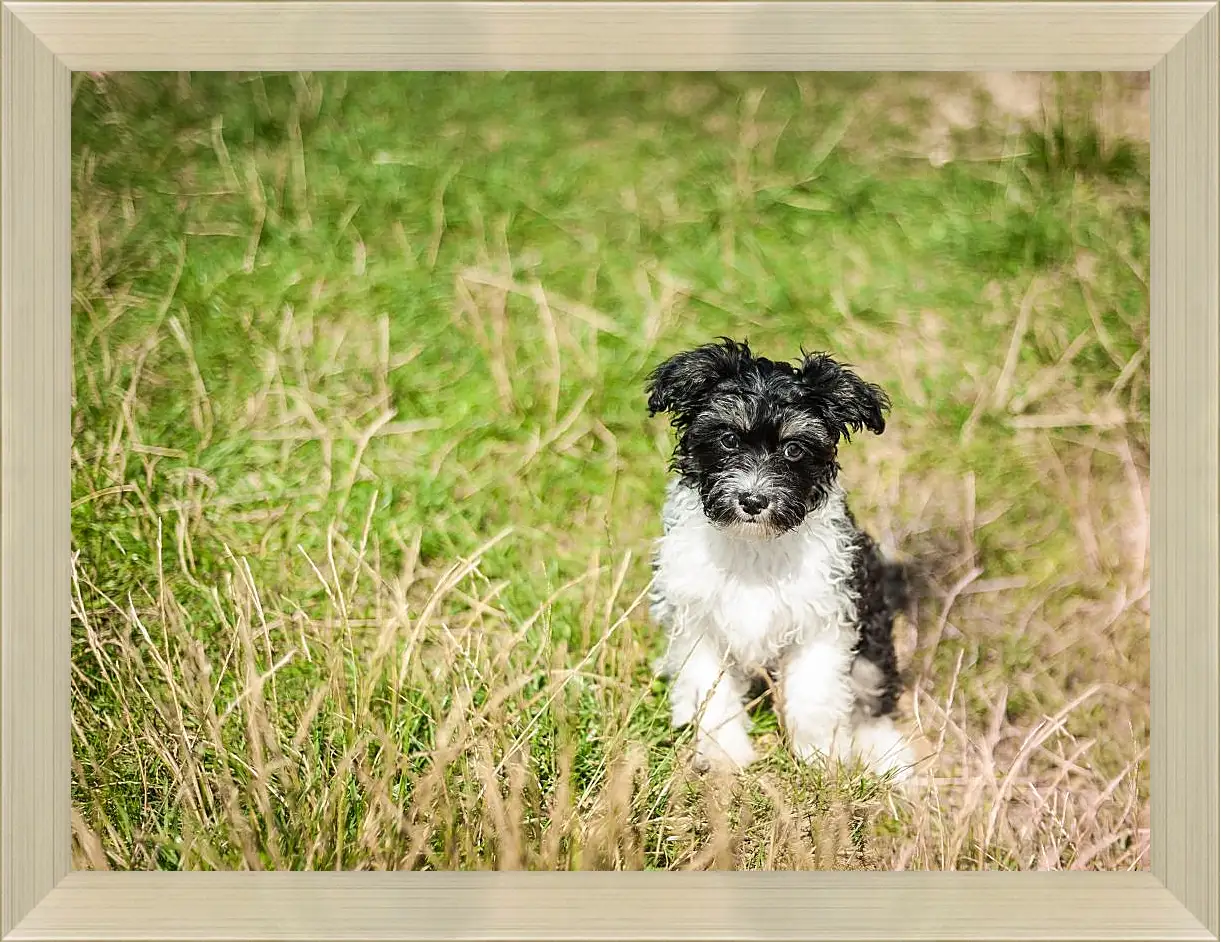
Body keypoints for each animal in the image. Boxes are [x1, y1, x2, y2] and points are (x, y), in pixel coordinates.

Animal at [649, 339, 918, 781]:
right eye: (728, 440)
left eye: (794, 449)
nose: (753, 500)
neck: (754, 545)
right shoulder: (699, 622)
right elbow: (713, 693)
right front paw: (725, 756)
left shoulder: (824, 618)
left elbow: (815, 695)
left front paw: (822, 759)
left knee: (869, 691)